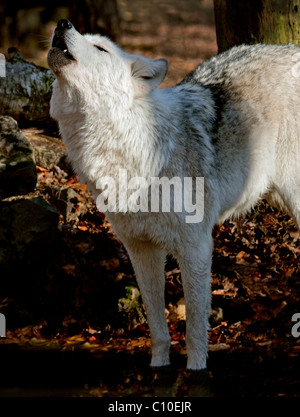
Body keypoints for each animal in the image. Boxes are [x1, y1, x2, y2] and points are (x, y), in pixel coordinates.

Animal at [47, 20, 300, 370]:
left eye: (101, 48)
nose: (62, 23)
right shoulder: (141, 250)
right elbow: (157, 323)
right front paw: (159, 365)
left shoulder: (196, 246)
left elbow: (194, 326)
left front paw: (195, 369)